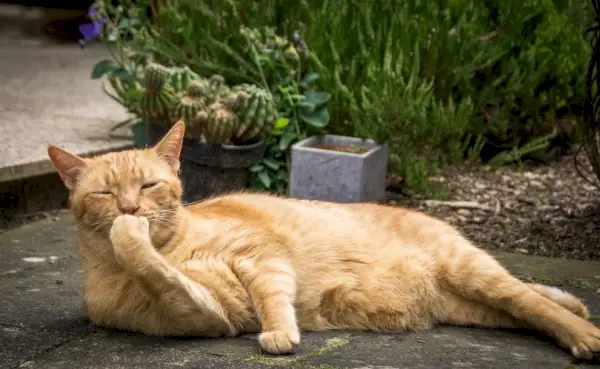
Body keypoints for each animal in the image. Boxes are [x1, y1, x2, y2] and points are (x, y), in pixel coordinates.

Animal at [47, 122, 600, 358]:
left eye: (147, 185)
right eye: (105, 192)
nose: (129, 209)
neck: (175, 245)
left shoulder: (261, 257)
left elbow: (272, 295)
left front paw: (279, 332)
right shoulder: (203, 315)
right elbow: (163, 276)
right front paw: (131, 239)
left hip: (469, 270)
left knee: (527, 297)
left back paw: (584, 332)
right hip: (467, 303)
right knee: (524, 306)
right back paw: (574, 305)